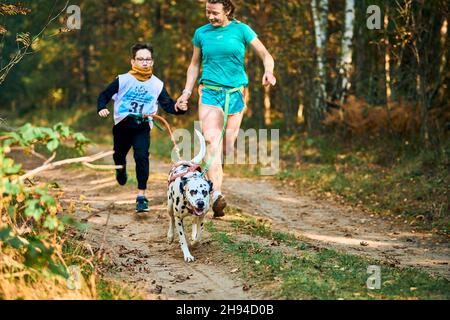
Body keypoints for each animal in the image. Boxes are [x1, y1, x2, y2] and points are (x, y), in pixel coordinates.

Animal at [166, 129, 214, 262]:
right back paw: (170, 235)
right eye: (192, 191)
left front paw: (194, 242)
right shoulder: (179, 218)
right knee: (171, 219)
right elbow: (182, 238)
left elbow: (199, 234)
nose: (200, 203)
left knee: (193, 221)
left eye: (205, 192)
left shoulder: (202, 215)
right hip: (169, 205)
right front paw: (187, 255)